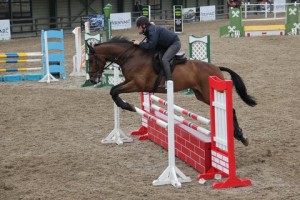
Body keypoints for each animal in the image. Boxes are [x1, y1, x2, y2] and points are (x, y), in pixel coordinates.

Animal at [86, 36, 255, 145]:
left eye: (91, 60)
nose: (93, 80)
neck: (130, 56)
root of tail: (216, 68)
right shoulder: (130, 82)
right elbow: (114, 90)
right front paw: (127, 105)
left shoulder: (136, 84)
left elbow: (114, 91)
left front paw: (127, 105)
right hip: (201, 95)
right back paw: (239, 136)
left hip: (209, 94)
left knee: (231, 110)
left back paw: (240, 136)